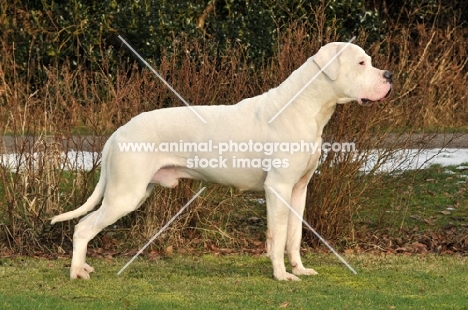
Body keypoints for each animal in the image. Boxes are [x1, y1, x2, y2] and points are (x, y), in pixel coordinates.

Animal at [53, 42, 394, 282]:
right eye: (361, 63)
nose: (389, 75)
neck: (306, 108)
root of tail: (118, 132)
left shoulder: (299, 190)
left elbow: (294, 237)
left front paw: (298, 269)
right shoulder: (278, 188)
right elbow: (278, 236)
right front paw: (281, 275)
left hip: (134, 192)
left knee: (86, 224)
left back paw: (83, 268)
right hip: (125, 195)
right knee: (83, 227)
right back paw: (76, 272)